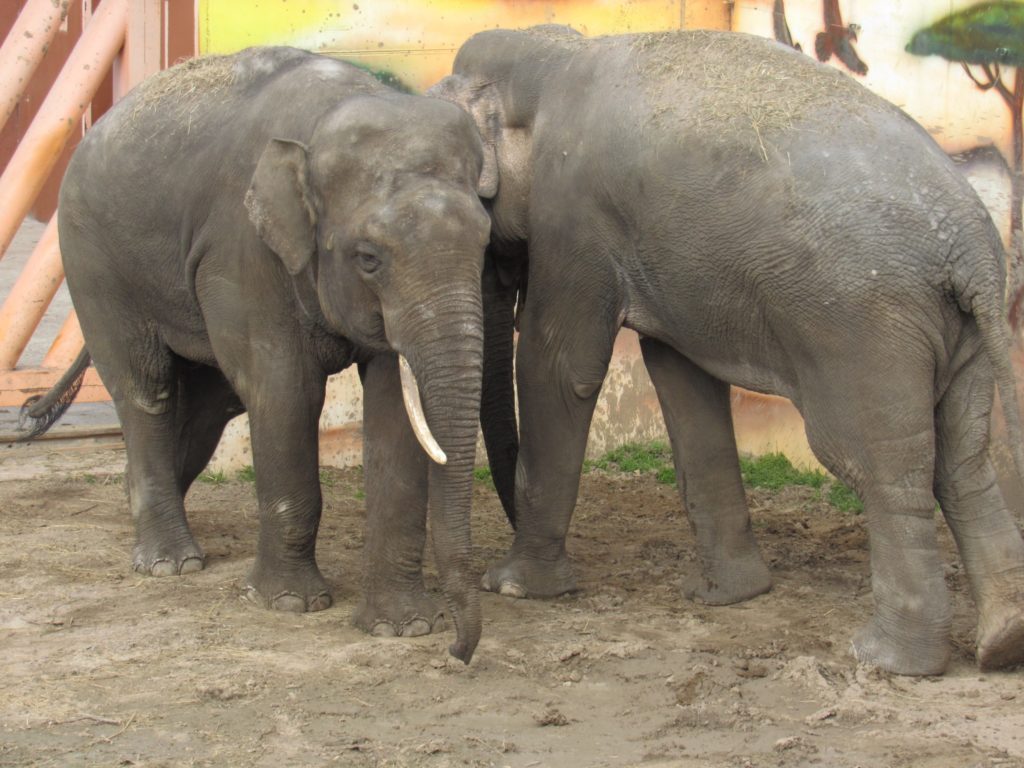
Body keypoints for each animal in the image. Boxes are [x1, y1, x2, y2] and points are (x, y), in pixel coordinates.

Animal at [19, 46, 491, 663]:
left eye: (485, 242)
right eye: (368, 258)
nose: (459, 652)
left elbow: (395, 408)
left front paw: (404, 628)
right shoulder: (244, 249)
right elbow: (285, 391)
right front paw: (287, 604)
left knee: (206, 405)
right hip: (91, 257)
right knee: (145, 387)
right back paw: (170, 563)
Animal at [436, 25, 1024, 671]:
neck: (548, 57)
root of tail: (971, 248)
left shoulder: (573, 218)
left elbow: (559, 369)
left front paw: (515, 587)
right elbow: (683, 380)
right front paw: (726, 596)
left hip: (869, 330)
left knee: (881, 467)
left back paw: (886, 658)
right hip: (958, 333)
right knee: (964, 461)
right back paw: (1003, 641)